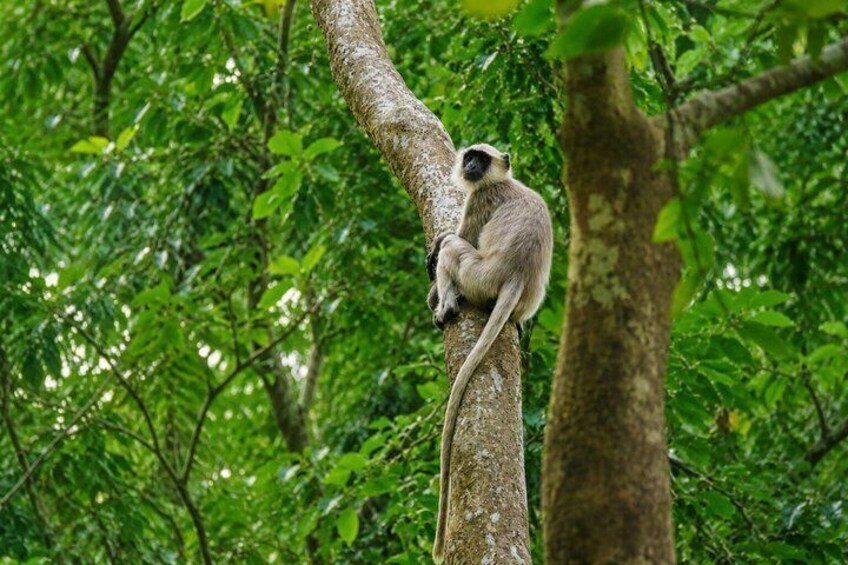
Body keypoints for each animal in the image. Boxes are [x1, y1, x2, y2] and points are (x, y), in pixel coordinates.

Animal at [427, 143, 553, 563]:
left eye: (480, 160)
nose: (469, 165)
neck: (505, 181)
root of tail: (515, 276)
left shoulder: (482, 198)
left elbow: (456, 238)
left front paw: (434, 286)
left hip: (478, 275)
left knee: (455, 250)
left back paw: (447, 304)